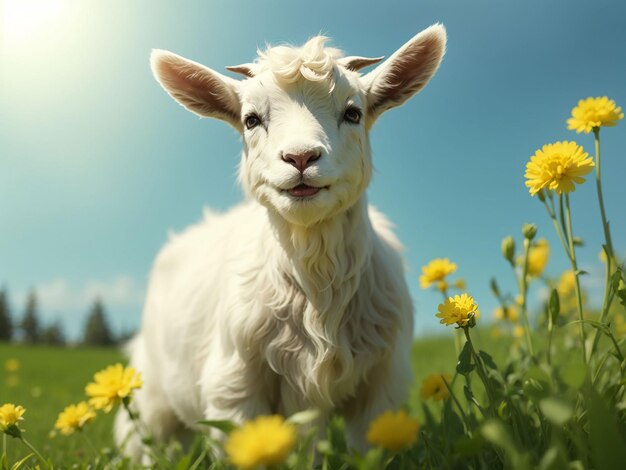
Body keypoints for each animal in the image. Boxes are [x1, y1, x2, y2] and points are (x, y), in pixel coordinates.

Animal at [114, 23, 446, 458]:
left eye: (353, 113)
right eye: (251, 119)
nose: (301, 157)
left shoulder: (381, 387)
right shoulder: (235, 387)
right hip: (149, 390)